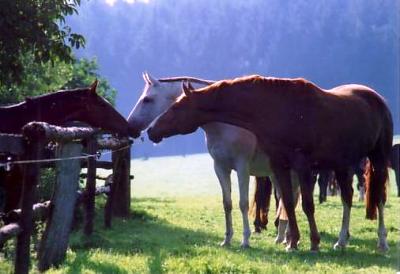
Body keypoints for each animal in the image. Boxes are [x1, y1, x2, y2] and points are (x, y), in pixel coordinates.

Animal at [126, 73, 298, 248]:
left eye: (147, 99)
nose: (131, 125)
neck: (224, 123)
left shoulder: (242, 168)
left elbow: (243, 203)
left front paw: (245, 240)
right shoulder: (220, 168)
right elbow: (227, 203)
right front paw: (227, 239)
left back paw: (290, 239)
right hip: (275, 174)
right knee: (285, 201)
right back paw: (282, 238)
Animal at [148, 75, 392, 253]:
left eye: (176, 107)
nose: (151, 131)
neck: (280, 110)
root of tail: (377, 98)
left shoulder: (301, 166)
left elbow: (306, 205)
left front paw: (313, 242)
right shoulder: (279, 167)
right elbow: (288, 203)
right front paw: (292, 242)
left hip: (377, 160)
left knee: (378, 198)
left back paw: (382, 241)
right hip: (342, 165)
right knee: (347, 198)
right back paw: (341, 240)